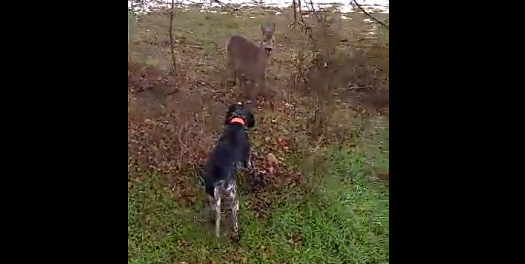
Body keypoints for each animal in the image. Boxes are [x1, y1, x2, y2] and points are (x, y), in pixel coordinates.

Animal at [199, 101, 258, 241]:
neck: (237, 123)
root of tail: (218, 182)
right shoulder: (247, 160)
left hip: (211, 196)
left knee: (214, 210)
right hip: (233, 197)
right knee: (235, 218)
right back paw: (236, 235)